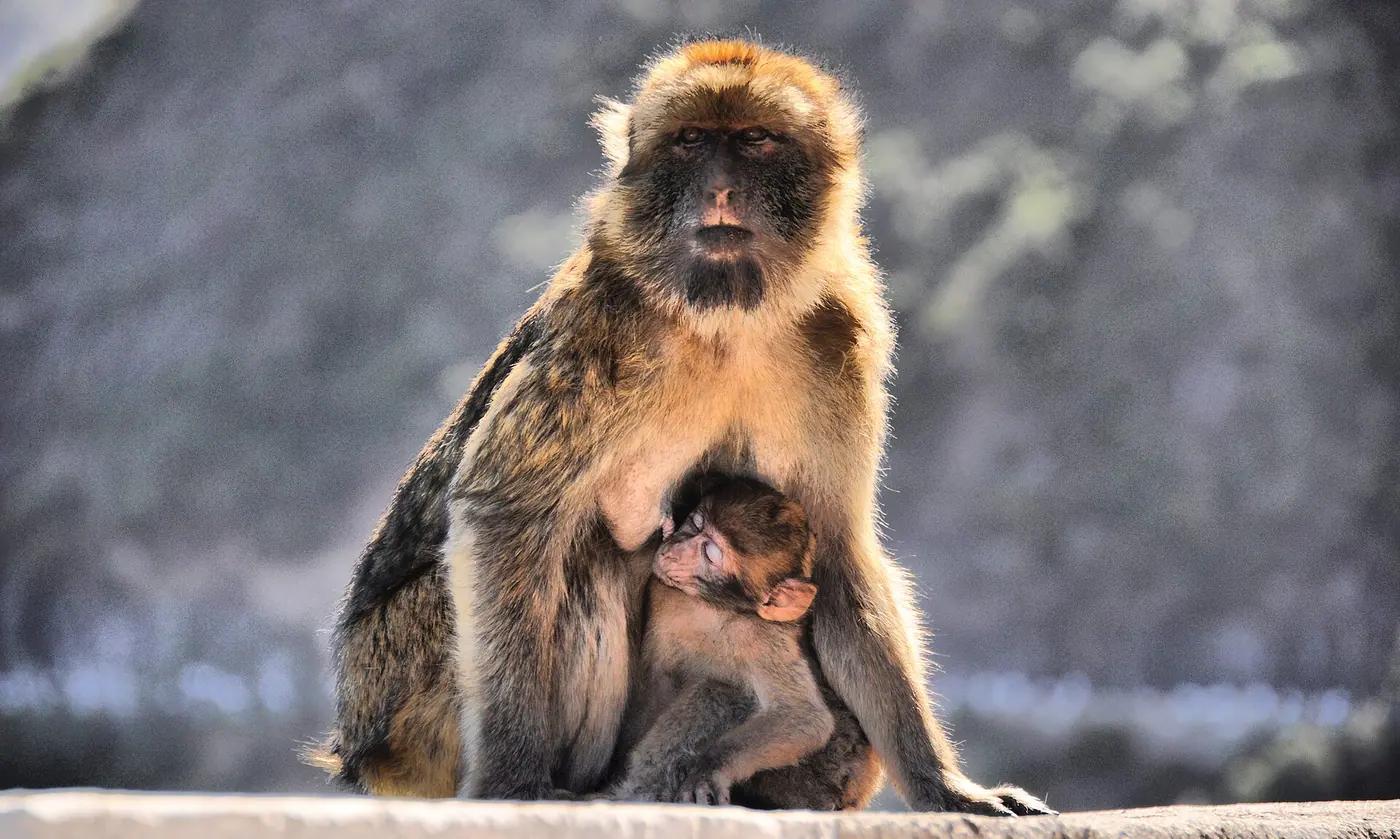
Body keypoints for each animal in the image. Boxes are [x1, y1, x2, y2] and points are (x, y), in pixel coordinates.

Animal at [610, 477, 881, 809]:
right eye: (696, 523)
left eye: (711, 553)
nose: (673, 550)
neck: (712, 610)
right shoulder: (663, 596)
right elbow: (658, 681)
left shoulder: (763, 639)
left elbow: (805, 717)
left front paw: (709, 769)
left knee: (723, 690)